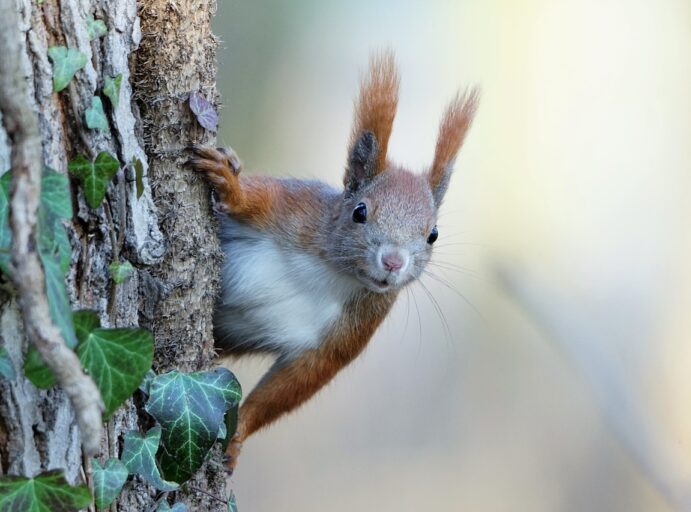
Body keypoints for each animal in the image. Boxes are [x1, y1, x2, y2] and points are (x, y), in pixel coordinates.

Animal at [189, 50, 482, 470]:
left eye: (433, 235)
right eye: (360, 212)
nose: (393, 262)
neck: (332, 271)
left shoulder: (354, 327)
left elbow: (296, 383)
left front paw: (238, 434)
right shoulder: (295, 208)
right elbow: (257, 198)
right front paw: (231, 185)